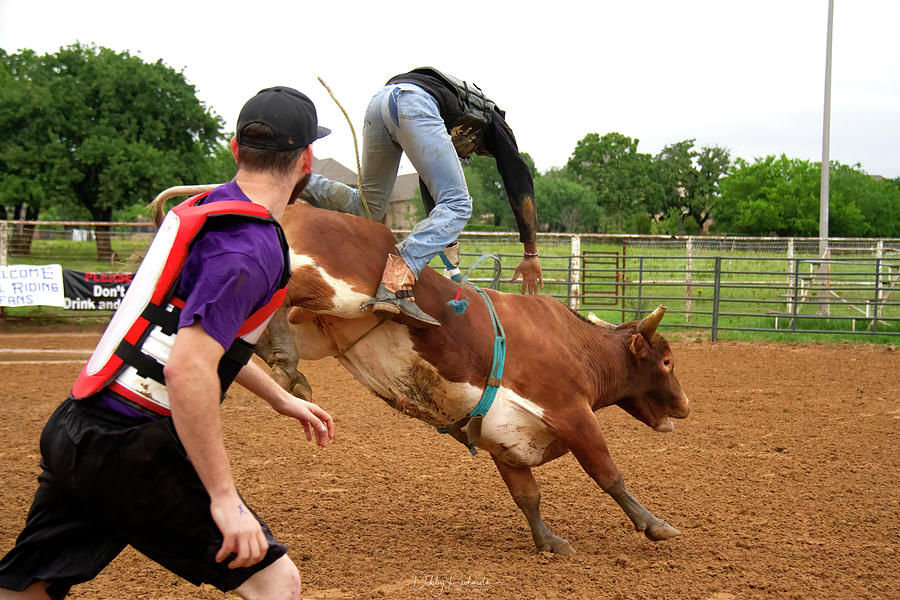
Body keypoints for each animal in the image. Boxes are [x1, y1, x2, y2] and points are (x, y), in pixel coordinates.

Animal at [256, 203, 692, 556]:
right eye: (667, 361)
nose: (686, 405)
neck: (576, 347)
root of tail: (297, 209)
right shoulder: (573, 415)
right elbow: (608, 475)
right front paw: (656, 525)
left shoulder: (502, 438)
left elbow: (527, 495)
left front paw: (548, 542)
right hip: (333, 291)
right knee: (279, 290)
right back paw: (287, 359)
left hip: (319, 330)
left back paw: (286, 366)